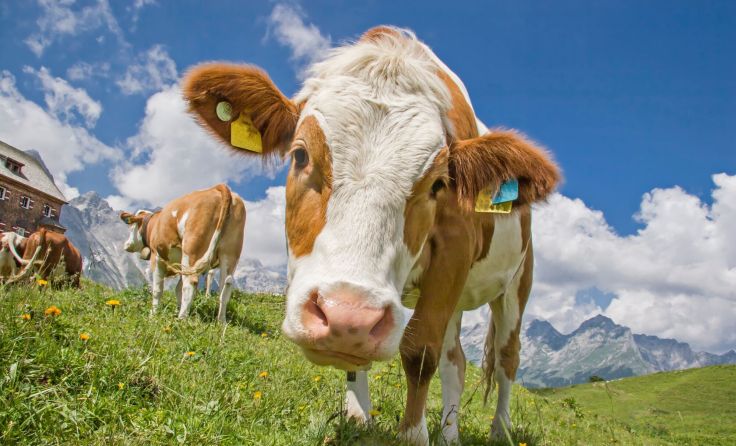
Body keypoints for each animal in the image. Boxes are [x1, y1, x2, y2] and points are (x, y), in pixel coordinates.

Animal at [119, 184, 246, 322]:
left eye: (131, 227)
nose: (126, 245)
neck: (154, 224)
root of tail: (219, 187)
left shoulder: (157, 257)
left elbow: (158, 290)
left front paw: (153, 315)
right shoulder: (181, 265)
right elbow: (178, 290)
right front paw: (177, 309)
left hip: (192, 250)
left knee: (190, 283)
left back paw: (181, 319)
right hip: (230, 253)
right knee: (225, 286)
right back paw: (221, 322)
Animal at [183, 27, 560, 444]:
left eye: (438, 184)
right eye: (300, 155)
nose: (348, 316)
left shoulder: (454, 251)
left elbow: (420, 350)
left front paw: (413, 435)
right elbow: (384, 360)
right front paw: (358, 417)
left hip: (517, 284)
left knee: (508, 356)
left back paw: (499, 430)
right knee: (456, 361)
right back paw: (450, 434)